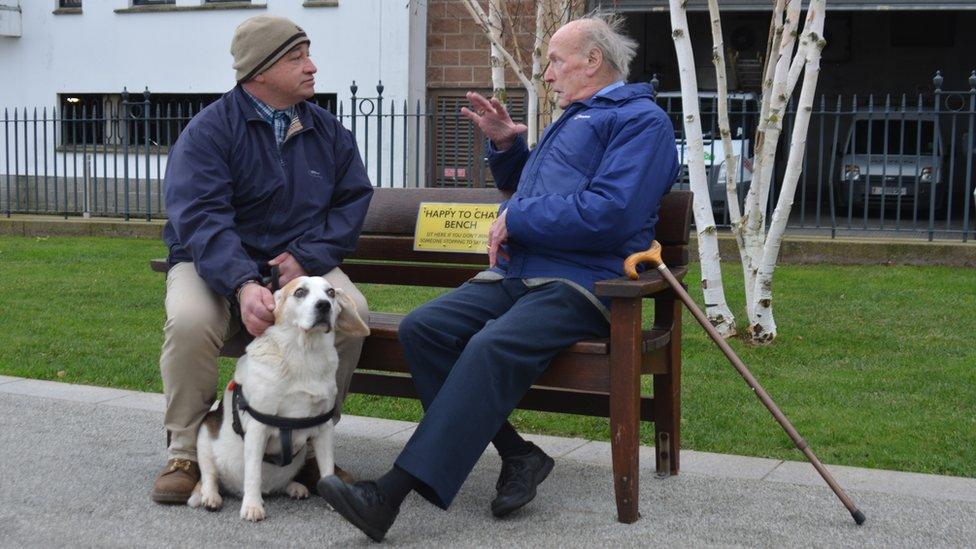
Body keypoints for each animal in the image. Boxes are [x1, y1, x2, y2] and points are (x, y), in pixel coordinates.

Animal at [189, 276, 372, 520]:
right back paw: (211, 496)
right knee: (210, 476)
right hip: (204, 436)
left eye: (331, 292)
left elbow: (327, 468)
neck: (305, 354)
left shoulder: (324, 430)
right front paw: (252, 506)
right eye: (300, 292)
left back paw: (294, 487)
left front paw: (334, 496)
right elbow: (253, 473)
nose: (324, 305)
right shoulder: (257, 430)